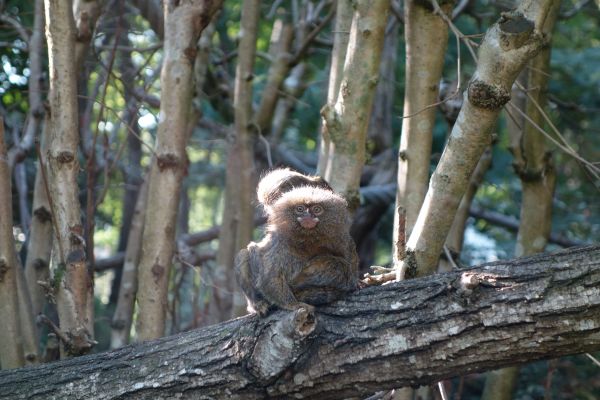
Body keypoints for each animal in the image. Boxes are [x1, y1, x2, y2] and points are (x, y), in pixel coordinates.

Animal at [234, 178, 356, 316]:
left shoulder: (343, 240)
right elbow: (270, 277)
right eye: (300, 209)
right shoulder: (280, 244)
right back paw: (258, 304)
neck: (308, 239)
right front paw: (294, 305)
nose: (307, 216)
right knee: (244, 254)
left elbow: (350, 271)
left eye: (317, 209)